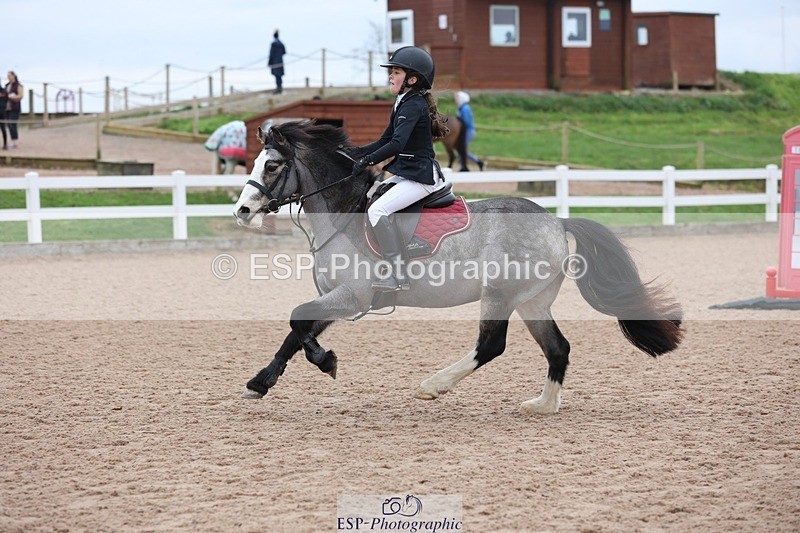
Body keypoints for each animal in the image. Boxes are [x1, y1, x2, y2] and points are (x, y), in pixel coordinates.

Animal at [233, 120, 683, 414]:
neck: (345, 214)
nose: (242, 211)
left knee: (492, 345)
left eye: (271, 166)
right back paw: (543, 405)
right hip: (532, 301)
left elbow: (298, 322)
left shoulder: (353, 297)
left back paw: (433, 386)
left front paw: (326, 361)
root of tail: (557, 221)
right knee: (558, 347)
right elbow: (297, 330)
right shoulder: (336, 297)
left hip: (499, 294)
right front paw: (260, 382)